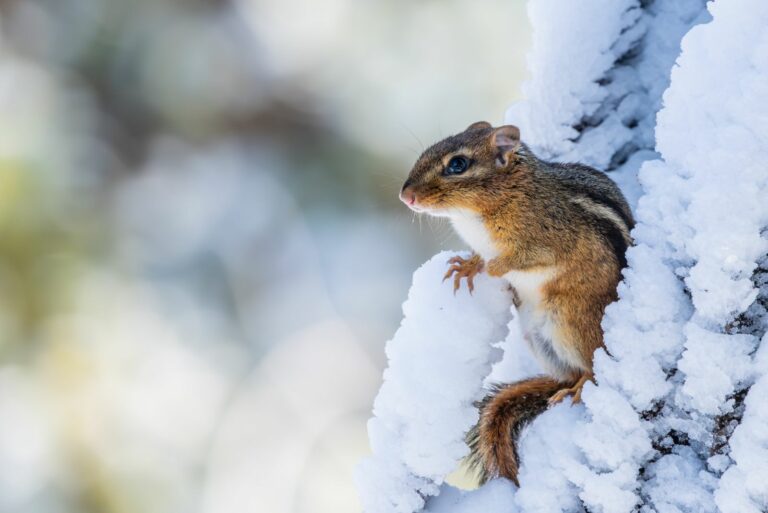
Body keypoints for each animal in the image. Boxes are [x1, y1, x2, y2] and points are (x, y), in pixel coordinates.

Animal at [398, 121, 634, 486]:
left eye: (457, 165)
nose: (405, 195)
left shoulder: (545, 239)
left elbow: (520, 260)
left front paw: (494, 268)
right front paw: (467, 267)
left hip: (571, 324)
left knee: (593, 368)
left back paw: (578, 388)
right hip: (536, 337)